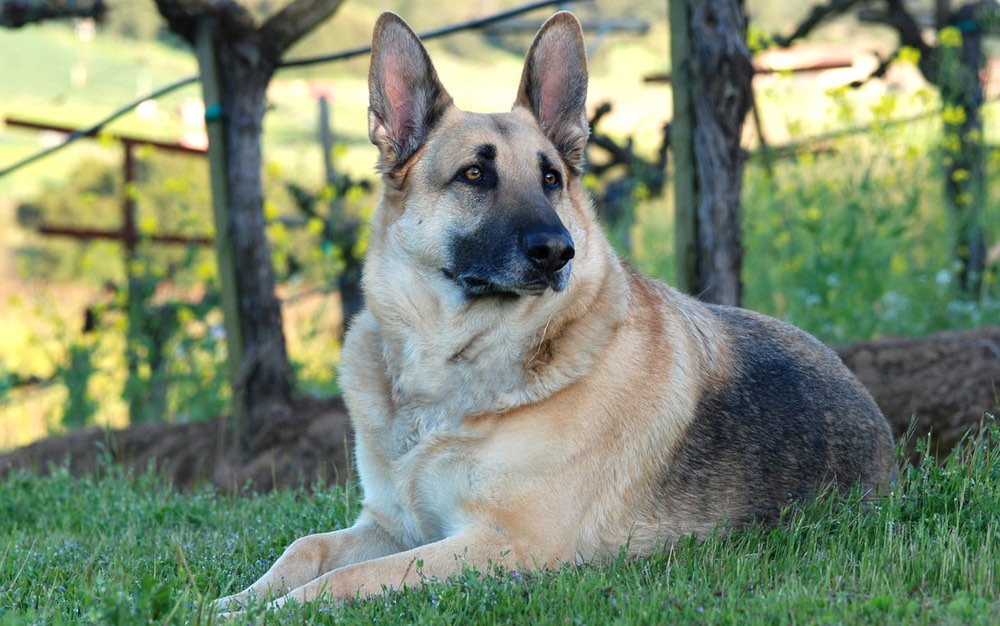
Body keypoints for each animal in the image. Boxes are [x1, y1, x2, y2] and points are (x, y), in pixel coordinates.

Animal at [215, 12, 896, 612]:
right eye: (474, 174)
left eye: (551, 180)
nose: (557, 251)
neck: (445, 371)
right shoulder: (393, 524)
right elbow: (304, 548)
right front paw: (238, 599)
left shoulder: (501, 545)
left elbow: (348, 579)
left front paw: (277, 610)